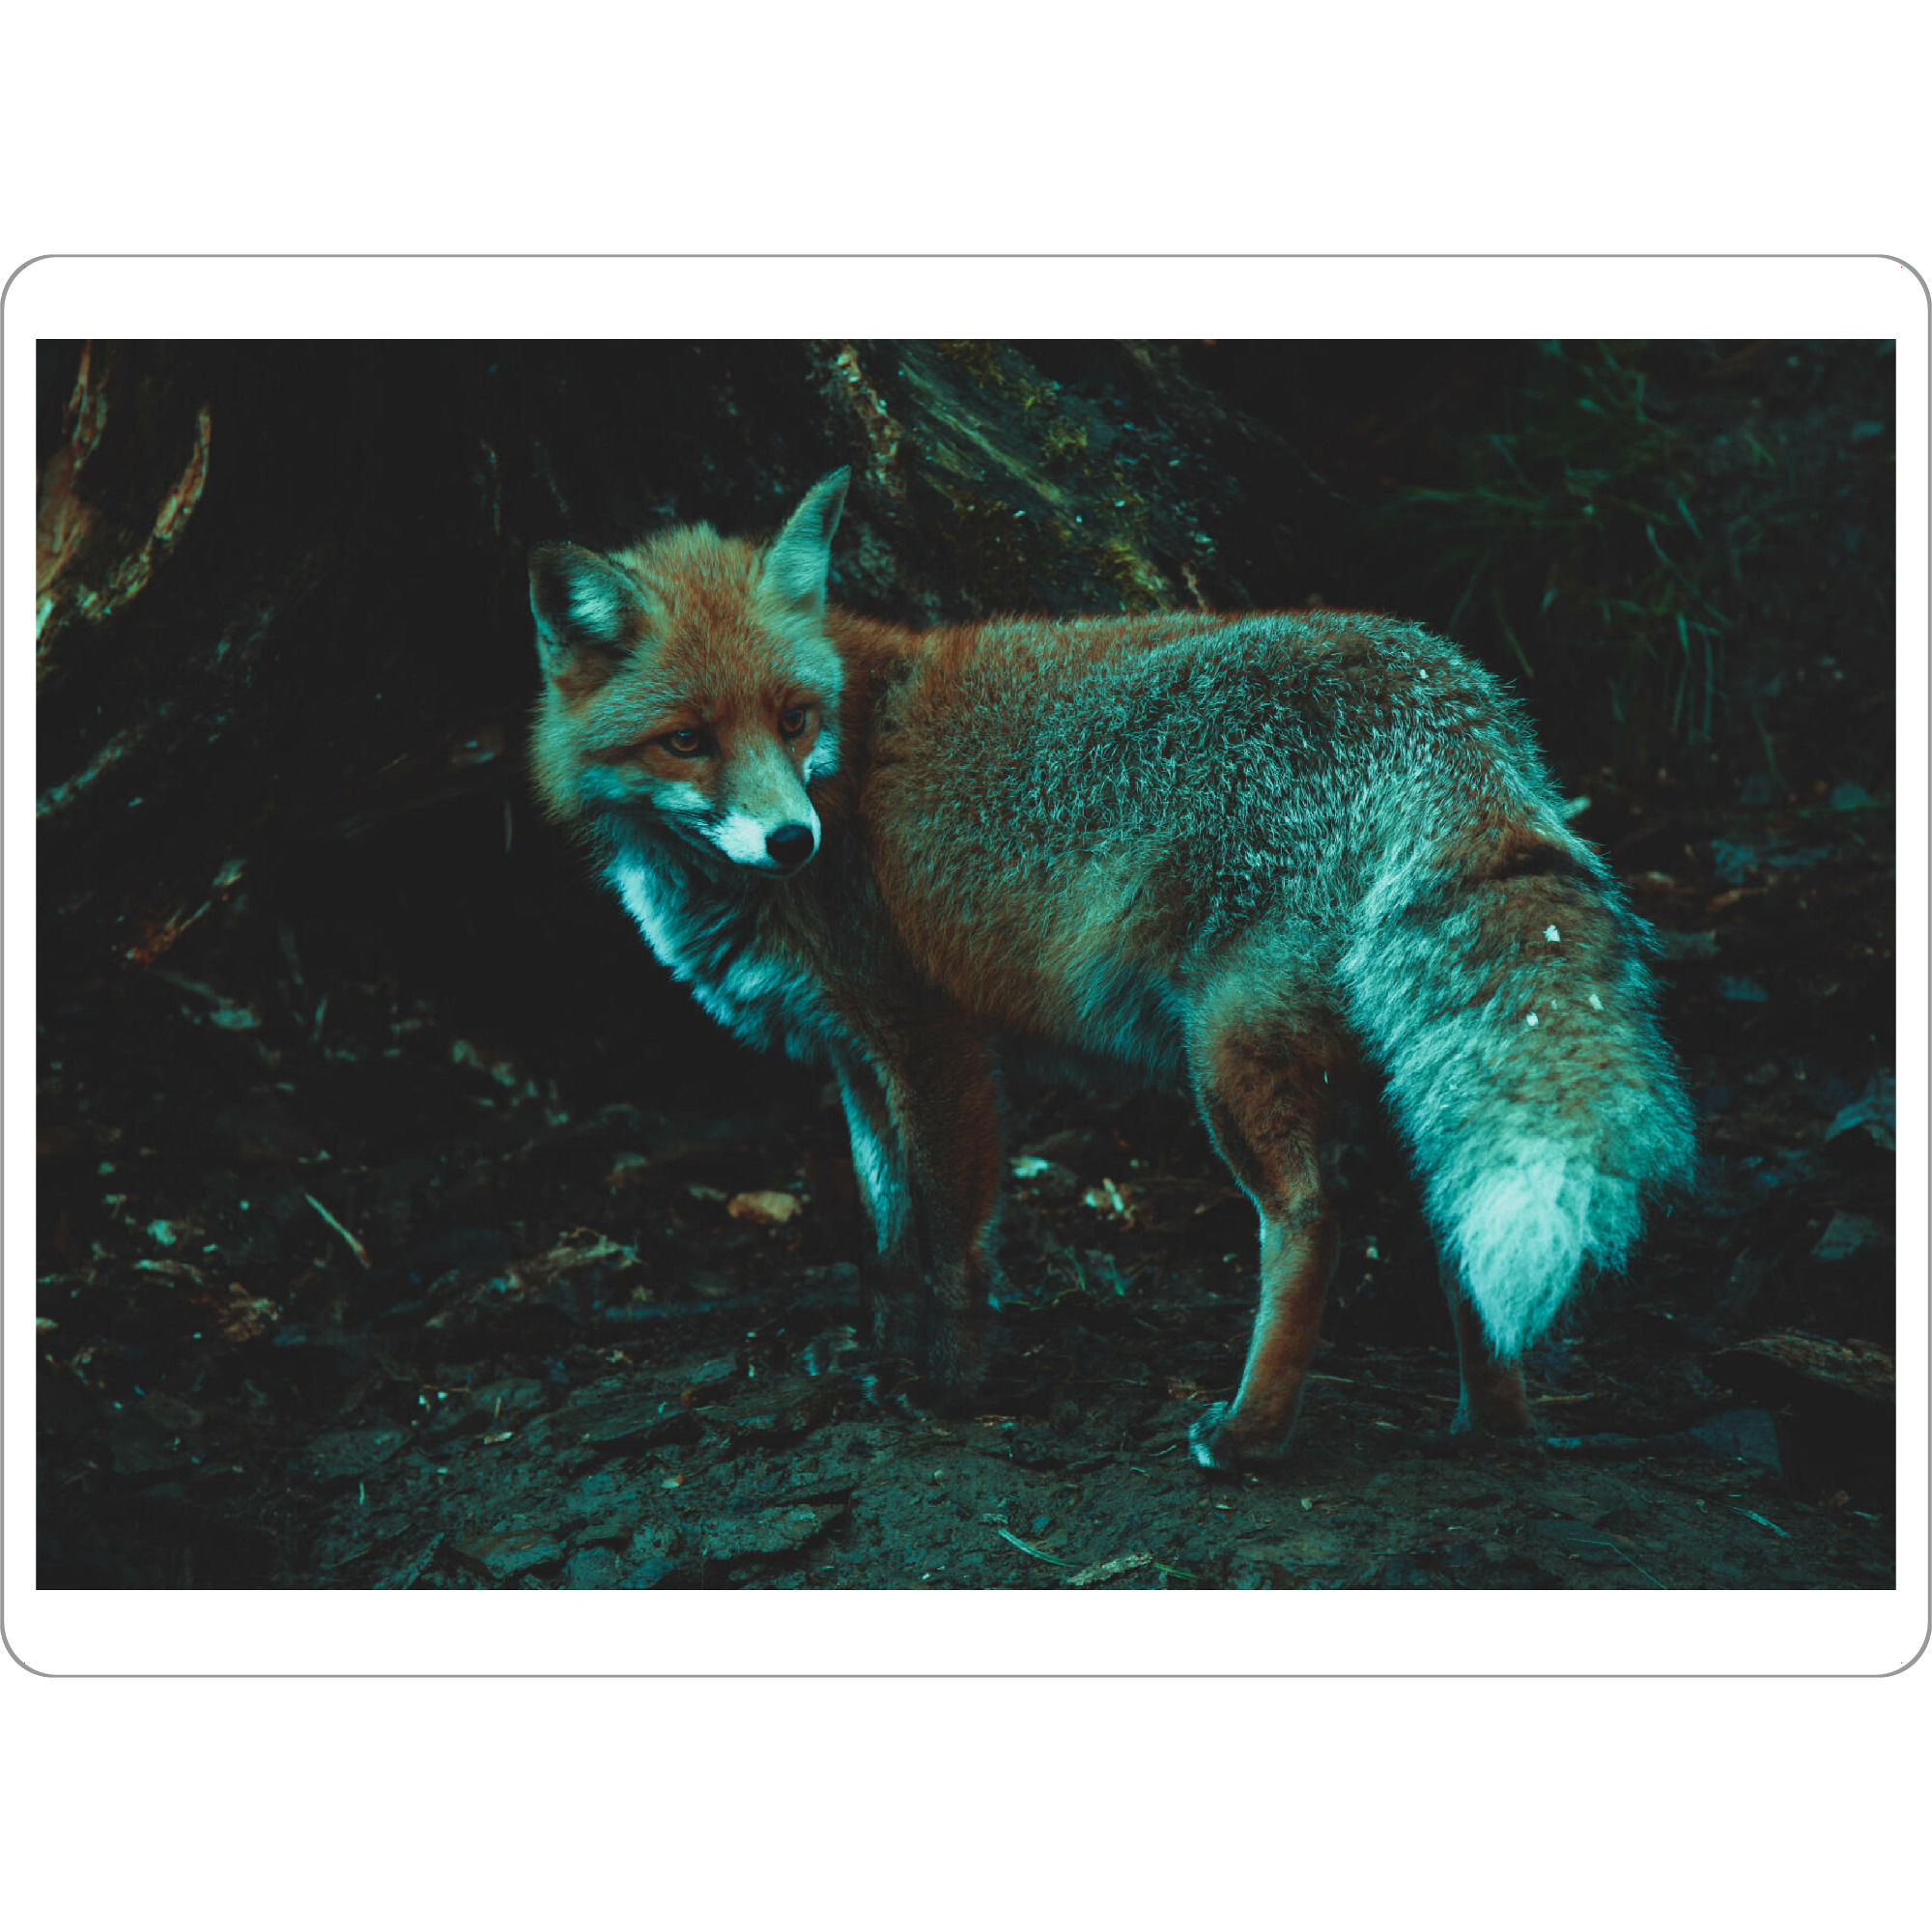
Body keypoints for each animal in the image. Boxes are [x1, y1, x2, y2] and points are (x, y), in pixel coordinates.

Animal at [527, 468, 1697, 1470]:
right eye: (686, 739)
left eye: (790, 718)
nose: (790, 842)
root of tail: (1447, 685)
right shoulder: (855, 1056)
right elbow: (886, 1238)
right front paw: (882, 1366)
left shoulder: (934, 1039)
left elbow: (949, 1244)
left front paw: (945, 1390)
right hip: (1395, 1066)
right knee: (1456, 1239)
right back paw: (1493, 1425)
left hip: (1226, 1054)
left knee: (1310, 1221)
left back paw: (1250, 1435)